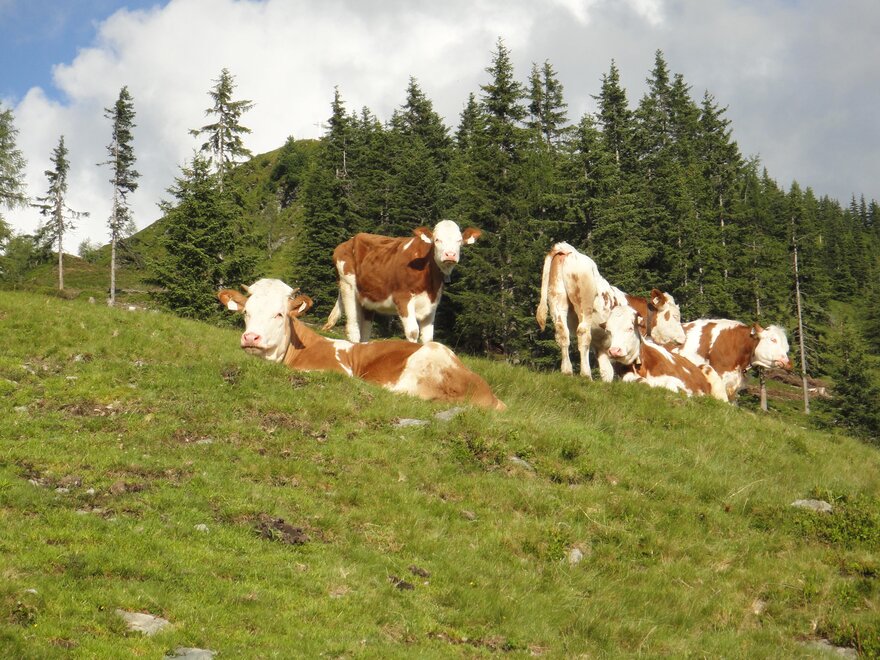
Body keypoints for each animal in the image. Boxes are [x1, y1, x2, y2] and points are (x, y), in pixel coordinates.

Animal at [323, 220, 482, 344]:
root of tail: (348, 241)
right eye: (437, 240)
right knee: (353, 327)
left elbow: (428, 338)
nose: (450, 255)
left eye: (459, 241)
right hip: (348, 286)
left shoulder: (432, 305)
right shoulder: (403, 298)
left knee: (365, 331)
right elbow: (413, 332)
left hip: (367, 296)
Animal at [535, 242, 686, 381]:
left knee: (562, 333)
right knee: (583, 333)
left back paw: (567, 371)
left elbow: (606, 373)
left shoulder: (602, 347)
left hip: (557, 299)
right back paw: (586, 375)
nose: (683, 338)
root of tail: (568, 250)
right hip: (584, 304)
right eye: (675, 316)